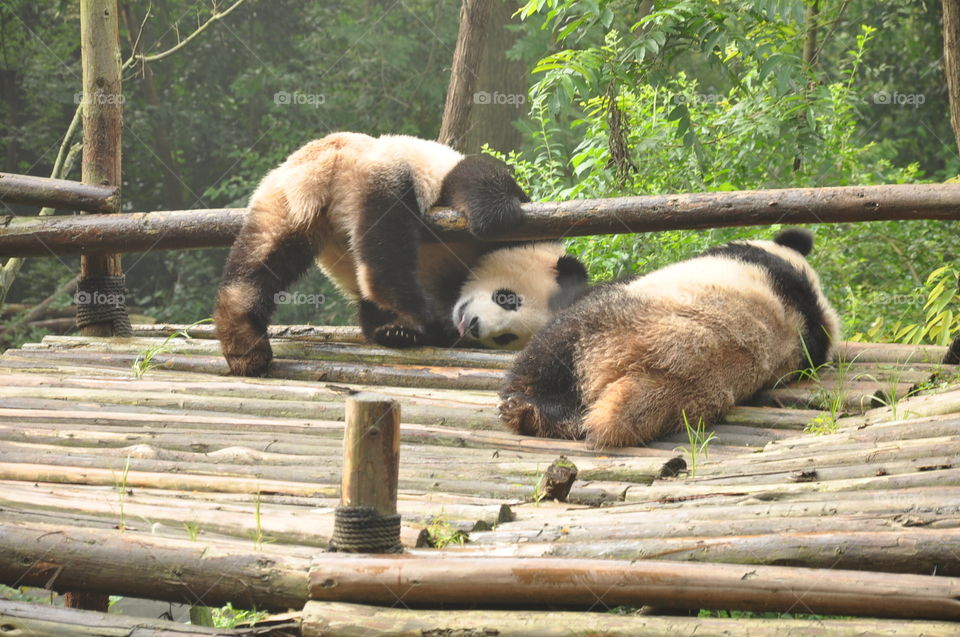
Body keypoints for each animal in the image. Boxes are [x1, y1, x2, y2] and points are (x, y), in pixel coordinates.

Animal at [214, 131, 584, 376]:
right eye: (507, 299)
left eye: (507, 337)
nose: (474, 326)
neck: (457, 285)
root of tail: (324, 169)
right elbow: (473, 176)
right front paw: (496, 214)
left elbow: (371, 316)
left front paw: (394, 332)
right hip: (379, 171)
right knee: (388, 237)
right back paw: (408, 307)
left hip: (281, 203)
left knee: (260, 262)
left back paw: (244, 342)